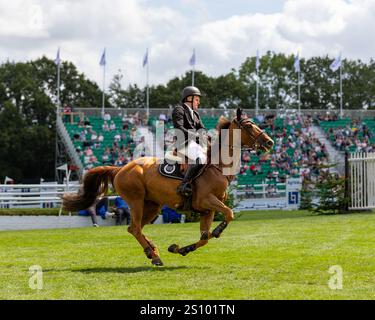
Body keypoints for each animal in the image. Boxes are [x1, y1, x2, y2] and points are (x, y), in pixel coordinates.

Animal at [61, 109, 274, 266]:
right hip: (136, 201)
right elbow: (228, 214)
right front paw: (218, 231)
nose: (270, 142)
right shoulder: (207, 201)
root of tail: (121, 168)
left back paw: (152, 250)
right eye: (249, 125)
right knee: (135, 228)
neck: (218, 166)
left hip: (152, 206)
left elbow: (205, 237)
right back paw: (154, 256)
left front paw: (181, 249)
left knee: (134, 228)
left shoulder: (207, 210)